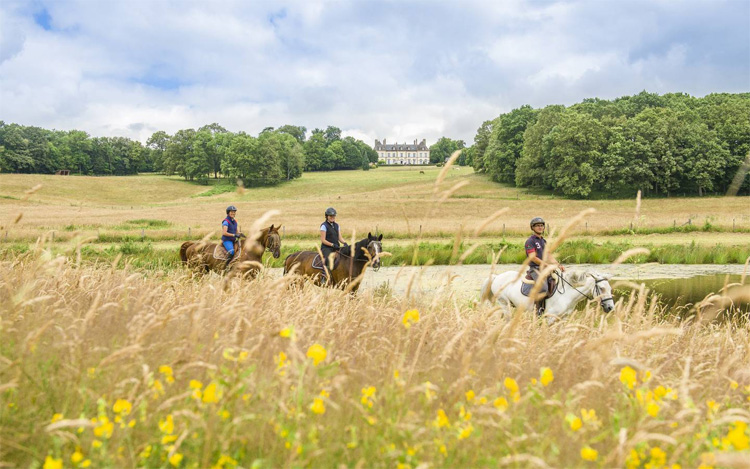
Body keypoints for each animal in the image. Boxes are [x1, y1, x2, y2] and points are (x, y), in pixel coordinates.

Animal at [482, 266, 616, 322]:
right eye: (601, 288)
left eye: (610, 288)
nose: (610, 308)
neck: (567, 294)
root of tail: (496, 276)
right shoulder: (550, 318)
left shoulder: (563, 318)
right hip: (504, 303)